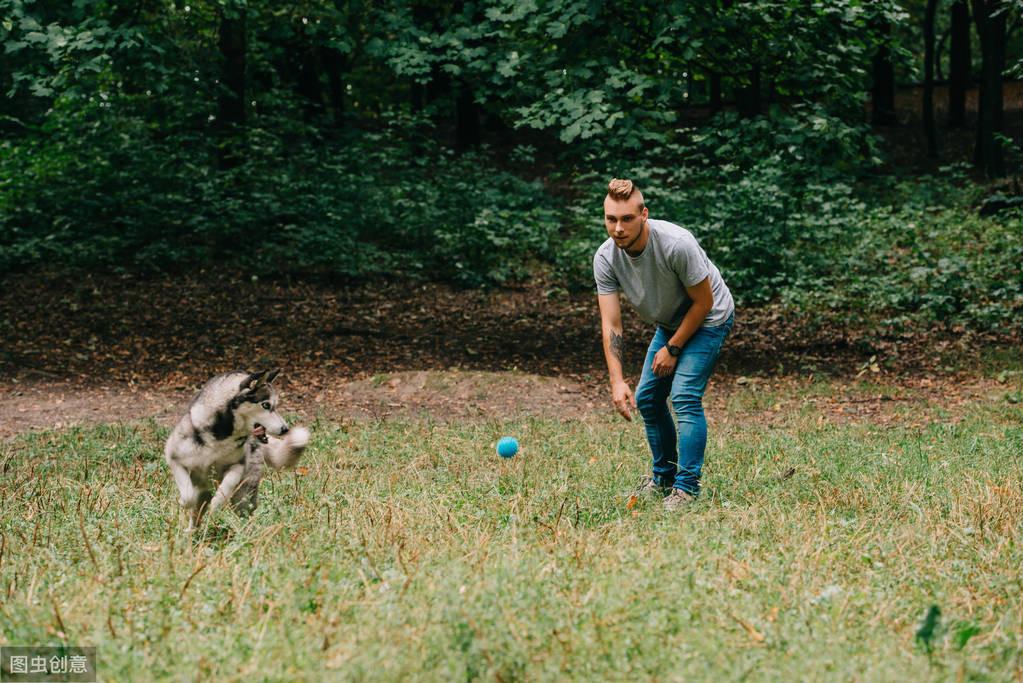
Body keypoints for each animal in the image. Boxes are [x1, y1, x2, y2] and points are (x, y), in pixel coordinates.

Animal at [161, 368, 306, 527]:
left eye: (275, 406)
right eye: (266, 405)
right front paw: (185, 502)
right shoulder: (174, 459)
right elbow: (188, 497)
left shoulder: (237, 466)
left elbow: (227, 486)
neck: (222, 436)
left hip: (244, 496)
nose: (285, 429)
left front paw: (217, 502)